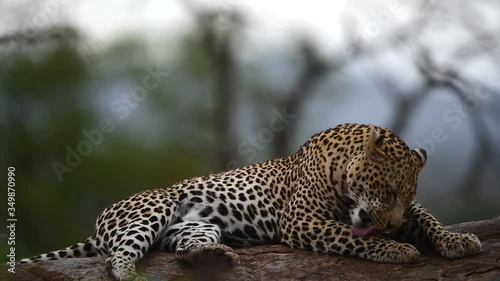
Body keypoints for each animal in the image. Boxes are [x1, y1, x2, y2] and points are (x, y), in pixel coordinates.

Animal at [16, 123, 480, 278]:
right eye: (390, 189)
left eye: (408, 193)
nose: (391, 225)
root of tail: (102, 220)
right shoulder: (304, 221)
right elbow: (353, 237)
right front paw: (395, 249)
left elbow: (427, 217)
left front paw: (458, 241)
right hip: (155, 208)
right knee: (119, 255)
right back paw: (129, 273)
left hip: (196, 225)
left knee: (183, 248)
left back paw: (216, 257)